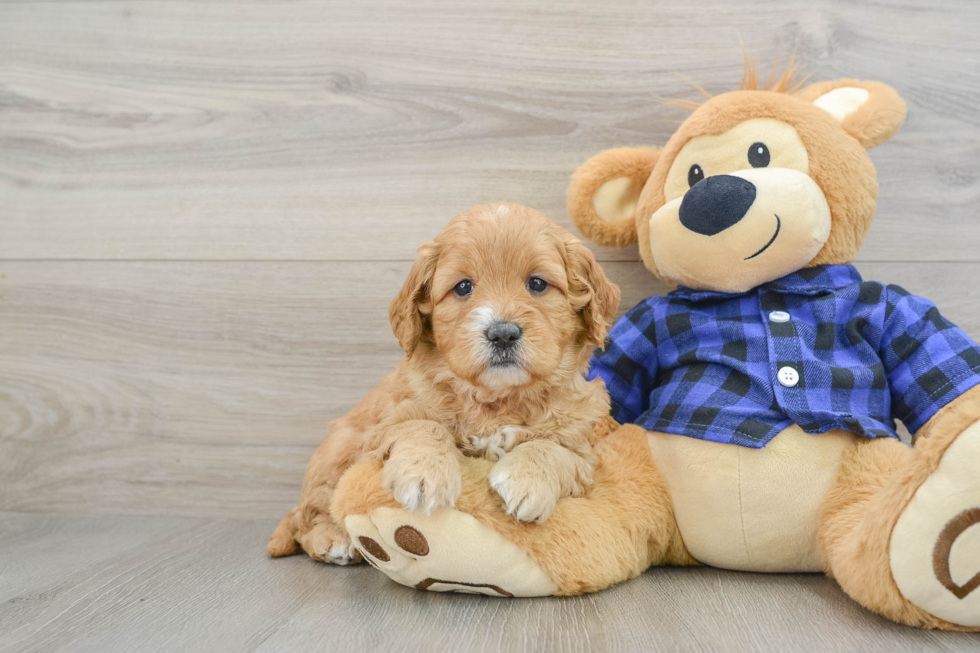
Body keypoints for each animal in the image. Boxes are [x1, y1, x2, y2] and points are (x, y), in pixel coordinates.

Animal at [268, 202, 620, 560]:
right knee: (306, 515)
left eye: (537, 284)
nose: (503, 334)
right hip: (337, 450)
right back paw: (333, 539)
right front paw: (424, 473)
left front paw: (528, 480)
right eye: (463, 287)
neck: (497, 399)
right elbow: (421, 424)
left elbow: (553, 448)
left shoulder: (582, 451)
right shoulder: (385, 425)